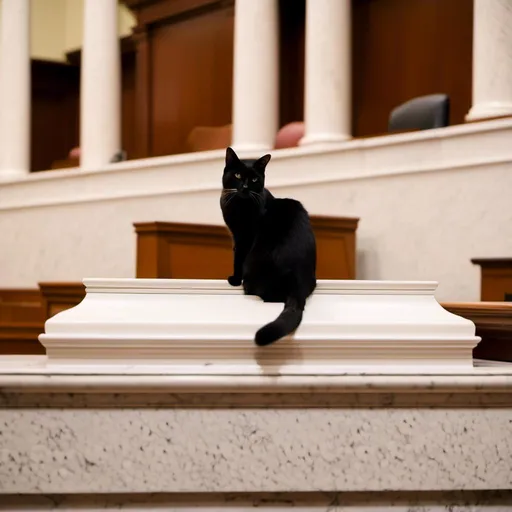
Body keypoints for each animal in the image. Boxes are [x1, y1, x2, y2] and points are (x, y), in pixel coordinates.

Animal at [220, 148, 316, 348]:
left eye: (254, 179)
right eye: (238, 175)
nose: (245, 187)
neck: (239, 205)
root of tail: (297, 286)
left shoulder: (243, 238)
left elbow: (237, 257)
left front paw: (235, 279)